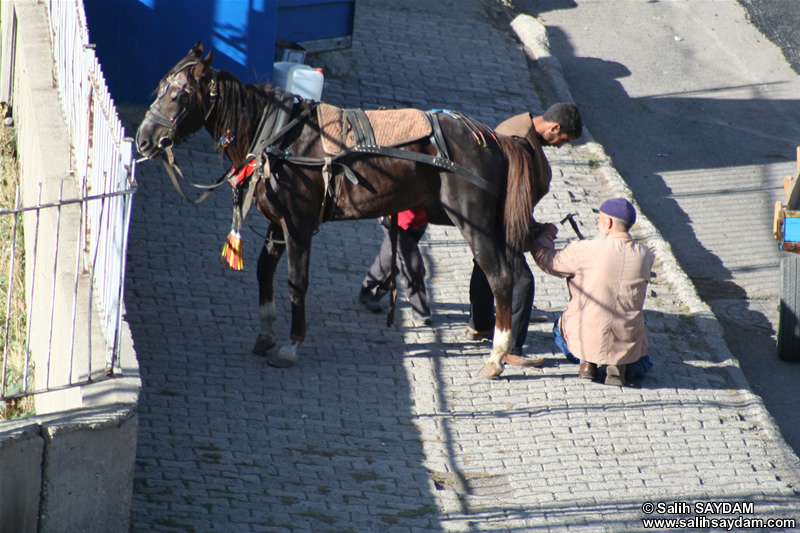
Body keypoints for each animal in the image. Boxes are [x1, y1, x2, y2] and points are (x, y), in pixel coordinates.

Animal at [134, 42, 536, 378]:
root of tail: (491, 138)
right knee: (511, 275)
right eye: (159, 88)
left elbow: (296, 282)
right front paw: (266, 333)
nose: (144, 140)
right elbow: (264, 271)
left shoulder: (297, 224)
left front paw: (291, 345)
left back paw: (497, 356)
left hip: (474, 225)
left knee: (500, 277)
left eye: (180, 94)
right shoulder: (277, 224)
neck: (283, 137)